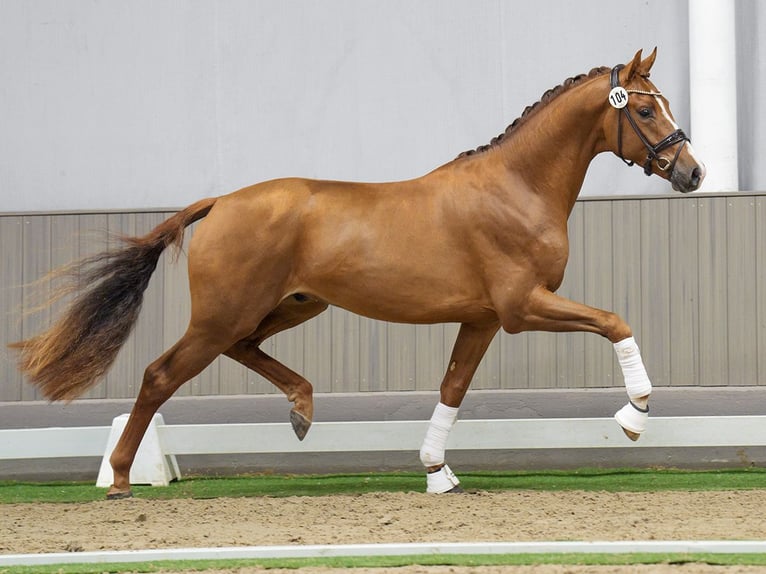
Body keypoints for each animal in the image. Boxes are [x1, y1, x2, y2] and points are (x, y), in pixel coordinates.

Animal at [12, 49, 708, 500]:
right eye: (646, 111)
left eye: (665, 104)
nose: (692, 172)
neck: (517, 188)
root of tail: (220, 202)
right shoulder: (521, 307)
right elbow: (614, 321)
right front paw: (635, 415)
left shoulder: (482, 319)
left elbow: (453, 388)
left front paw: (436, 472)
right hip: (223, 314)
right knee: (160, 375)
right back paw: (120, 479)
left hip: (292, 305)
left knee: (244, 349)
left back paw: (301, 410)